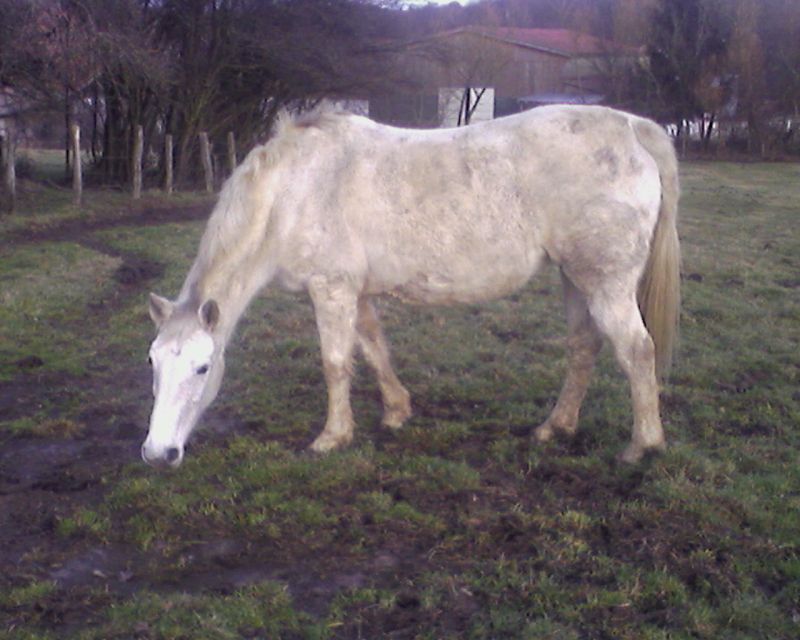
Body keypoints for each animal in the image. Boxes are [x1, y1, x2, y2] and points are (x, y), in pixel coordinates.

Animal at [142, 104, 680, 469]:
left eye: (202, 368)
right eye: (153, 363)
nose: (157, 452)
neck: (292, 191)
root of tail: (633, 128)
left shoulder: (331, 288)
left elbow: (335, 363)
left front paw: (332, 437)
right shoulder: (354, 291)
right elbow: (373, 348)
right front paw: (397, 411)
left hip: (604, 282)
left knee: (637, 351)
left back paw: (642, 445)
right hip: (574, 275)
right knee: (584, 346)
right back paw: (556, 427)